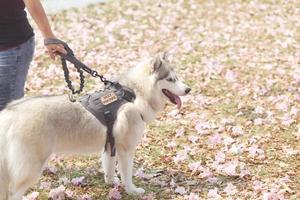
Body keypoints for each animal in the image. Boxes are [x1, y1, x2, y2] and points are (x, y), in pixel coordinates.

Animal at [0, 53, 191, 200]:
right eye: (170, 79)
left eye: (177, 78)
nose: (189, 89)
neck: (133, 94)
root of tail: (10, 112)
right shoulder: (126, 149)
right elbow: (127, 174)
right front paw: (132, 191)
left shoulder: (110, 145)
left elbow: (109, 168)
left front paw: (111, 183)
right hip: (30, 168)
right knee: (13, 193)